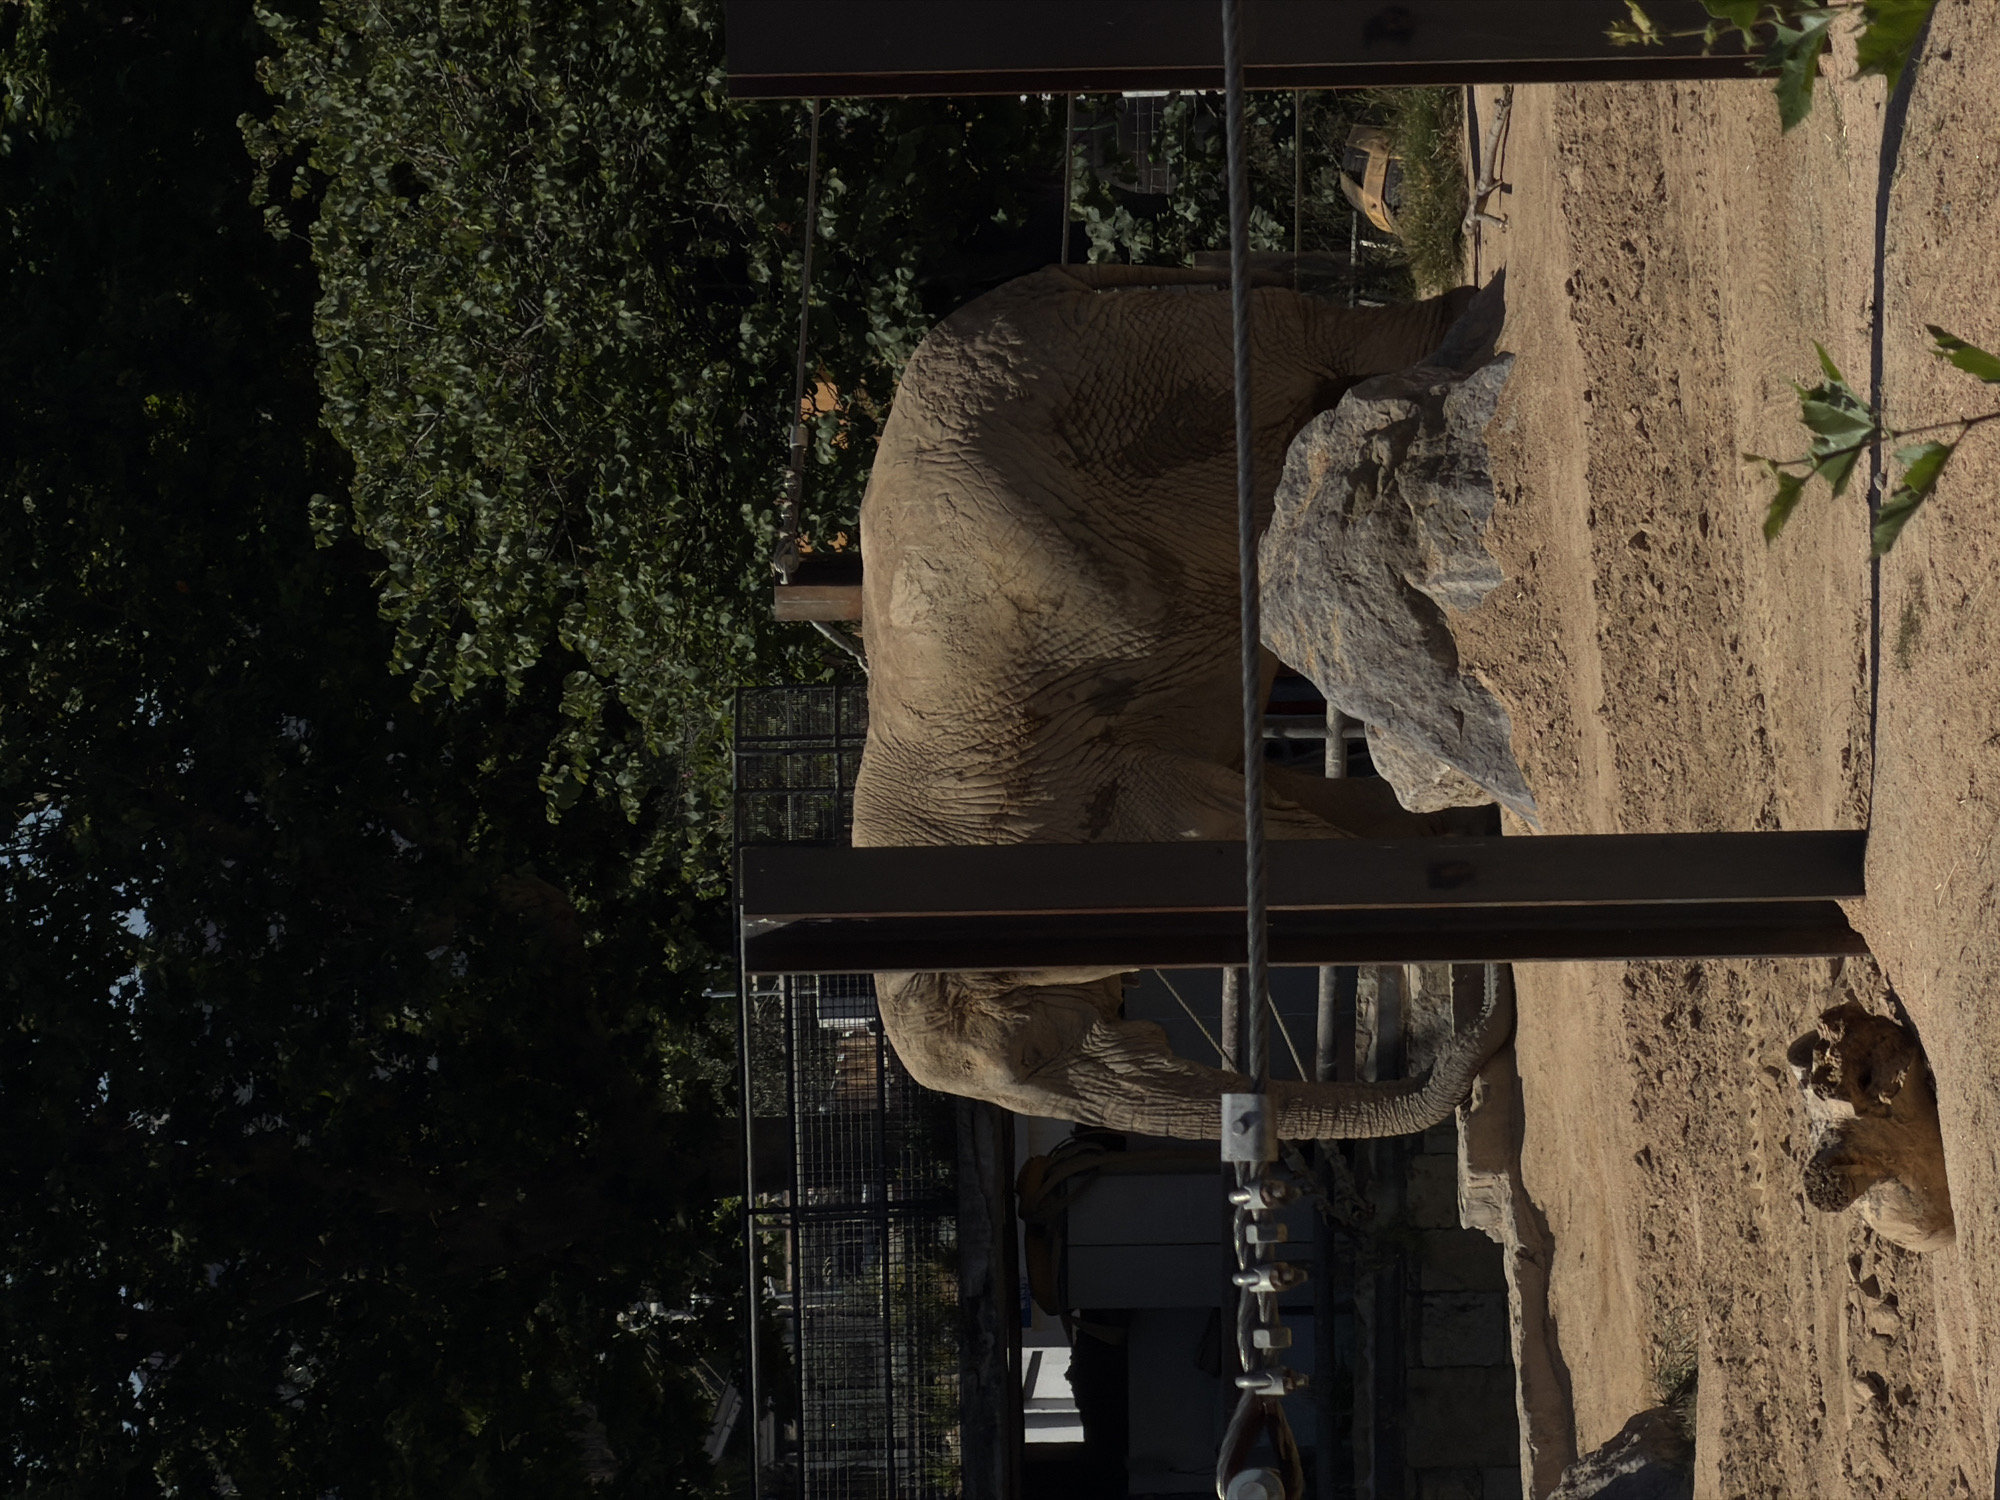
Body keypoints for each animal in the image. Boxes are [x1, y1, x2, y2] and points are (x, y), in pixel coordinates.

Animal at [848, 263, 1514, 1141]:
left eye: (1024, 1055)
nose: (1478, 1075)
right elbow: (1285, 798)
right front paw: (1458, 843)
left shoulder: (1082, 819)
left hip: (1151, 366)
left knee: (1302, 343)